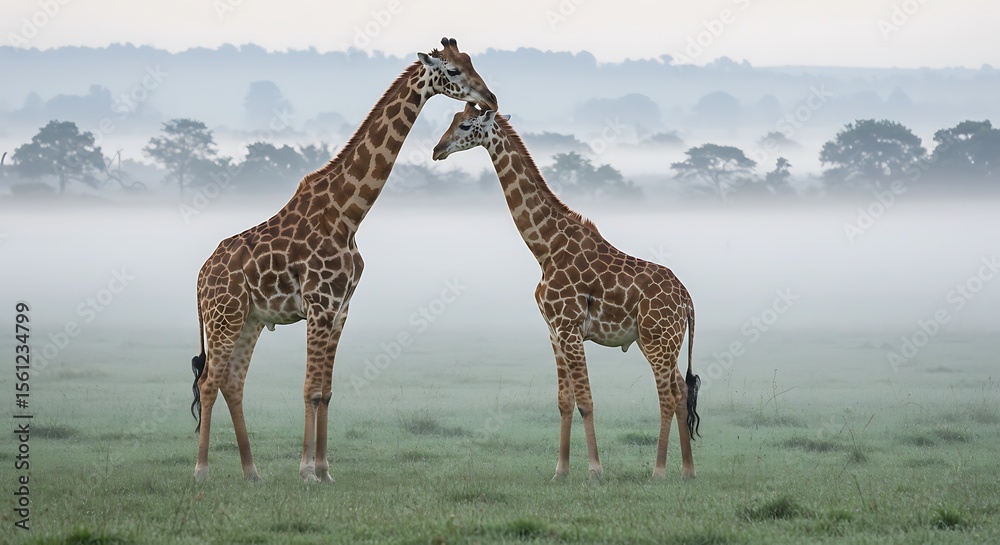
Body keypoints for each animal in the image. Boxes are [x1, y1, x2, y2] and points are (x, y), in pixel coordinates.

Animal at [190, 39, 498, 483]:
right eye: (453, 71)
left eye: (472, 61)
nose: (491, 99)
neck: (348, 214)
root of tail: (199, 277)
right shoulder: (319, 305)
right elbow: (310, 389)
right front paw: (306, 470)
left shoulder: (341, 309)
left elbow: (327, 392)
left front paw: (323, 470)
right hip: (224, 317)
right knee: (209, 381)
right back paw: (201, 471)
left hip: (250, 320)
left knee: (232, 382)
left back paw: (251, 472)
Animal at [432, 105, 701, 480]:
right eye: (453, 120)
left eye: (466, 125)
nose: (437, 150)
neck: (545, 246)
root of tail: (688, 300)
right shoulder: (553, 331)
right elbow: (564, 401)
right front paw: (560, 471)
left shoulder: (570, 328)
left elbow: (586, 401)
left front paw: (595, 471)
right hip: (660, 342)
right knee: (682, 391)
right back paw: (688, 471)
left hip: (658, 340)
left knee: (668, 395)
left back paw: (659, 472)